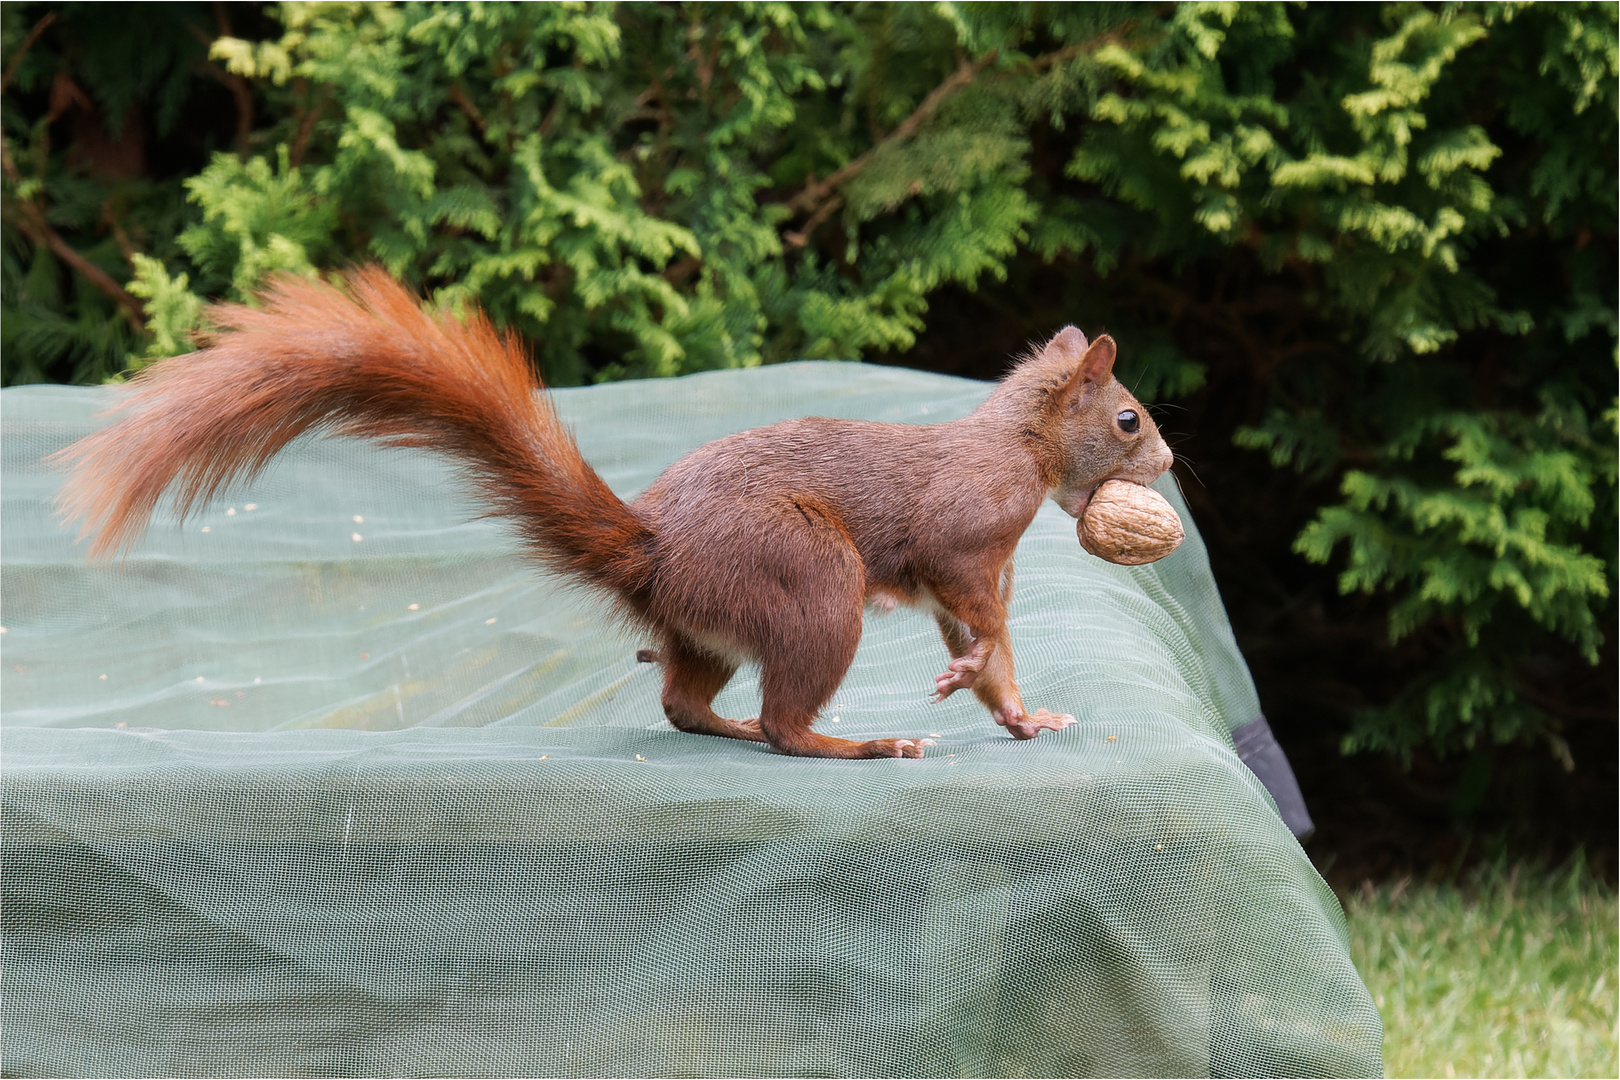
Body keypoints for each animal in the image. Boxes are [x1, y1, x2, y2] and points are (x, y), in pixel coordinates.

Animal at [53, 268, 1166, 761]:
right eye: (1127, 416)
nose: (1163, 460)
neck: (1019, 448)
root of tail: (654, 552)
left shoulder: (983, 573)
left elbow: (1000, 651)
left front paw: (1022, 712)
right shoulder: (964, 541)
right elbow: (976, 621)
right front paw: (969, 678)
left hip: (712, 628)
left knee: (685, 700)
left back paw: (722, 721)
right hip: (814, 587)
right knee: (783, 725)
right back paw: (854, 746)